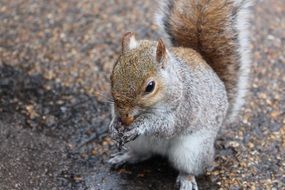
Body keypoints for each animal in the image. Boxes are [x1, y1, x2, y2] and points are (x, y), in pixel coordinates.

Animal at [107, 0, 250, 189]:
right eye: (112, 76)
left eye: (150, 87)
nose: (124, 116)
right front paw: (113, 125)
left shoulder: (186, 106)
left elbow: (167, 126)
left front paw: (140, 125)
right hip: (140, 144)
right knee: (143, 154)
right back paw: (125, 156)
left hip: (192, 152)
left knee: (189, 167)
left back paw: (187, 179)